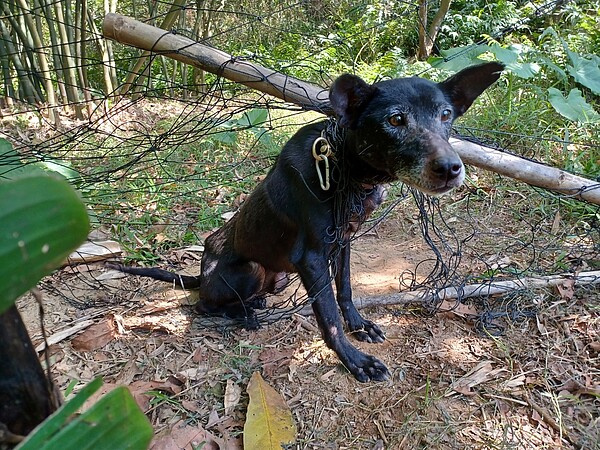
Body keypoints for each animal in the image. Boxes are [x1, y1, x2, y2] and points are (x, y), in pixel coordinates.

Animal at [110, 62, 504, 380]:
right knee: (204, 305)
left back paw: (253, 304)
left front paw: (359, 325)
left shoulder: (343, 242)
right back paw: (242, 314)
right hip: (249, 268)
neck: (346, 170)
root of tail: (200, 275)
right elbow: (328, 318)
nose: (451, 169)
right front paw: (356, 361)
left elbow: (344, 290)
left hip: (280, 278)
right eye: (395, 119)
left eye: (445, 115)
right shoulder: (312, 257)